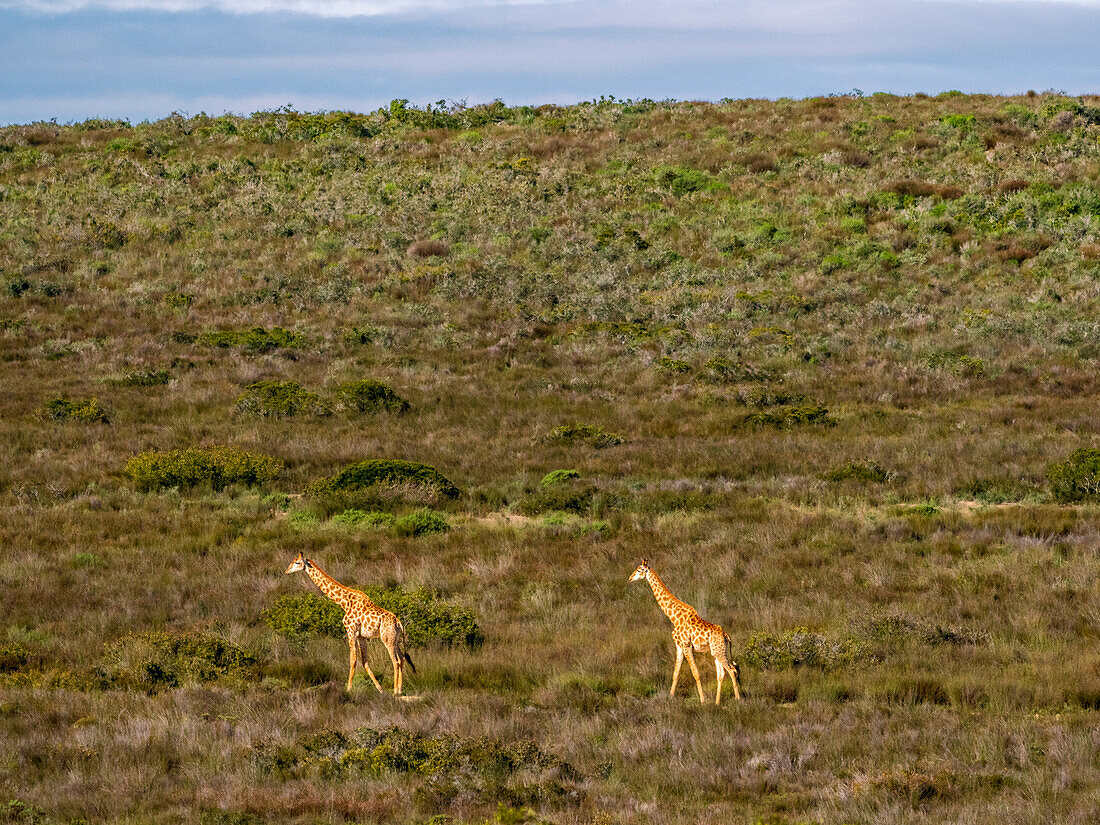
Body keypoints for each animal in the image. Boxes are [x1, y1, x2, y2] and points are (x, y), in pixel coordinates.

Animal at [283, 552, 415, 695]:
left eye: (297, 562)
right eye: (293, 560)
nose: (286, 571)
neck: (344, 602)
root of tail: (398, 623)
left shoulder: (350, 631)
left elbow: (353, 660)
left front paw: (349, 689)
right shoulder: (361, 636)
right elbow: (364, 661)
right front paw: (379, 689)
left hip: (386, 638)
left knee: (395, 661)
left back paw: (395, 691)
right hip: (394, 638)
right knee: (402, 658)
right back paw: (400, 689)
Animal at [629, 563, 739, 704]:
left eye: (639, 570)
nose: (630, 578)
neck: (673, 617)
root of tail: (727, 636)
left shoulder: (686, 646)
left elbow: (696, 673)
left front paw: (702, 701)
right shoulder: (679, 647)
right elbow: (676, 673)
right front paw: (670, 698)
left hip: (719, 652)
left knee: (732, 670)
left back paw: (738, 699)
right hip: (718, 652)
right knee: (722, 674)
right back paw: (717, 702)